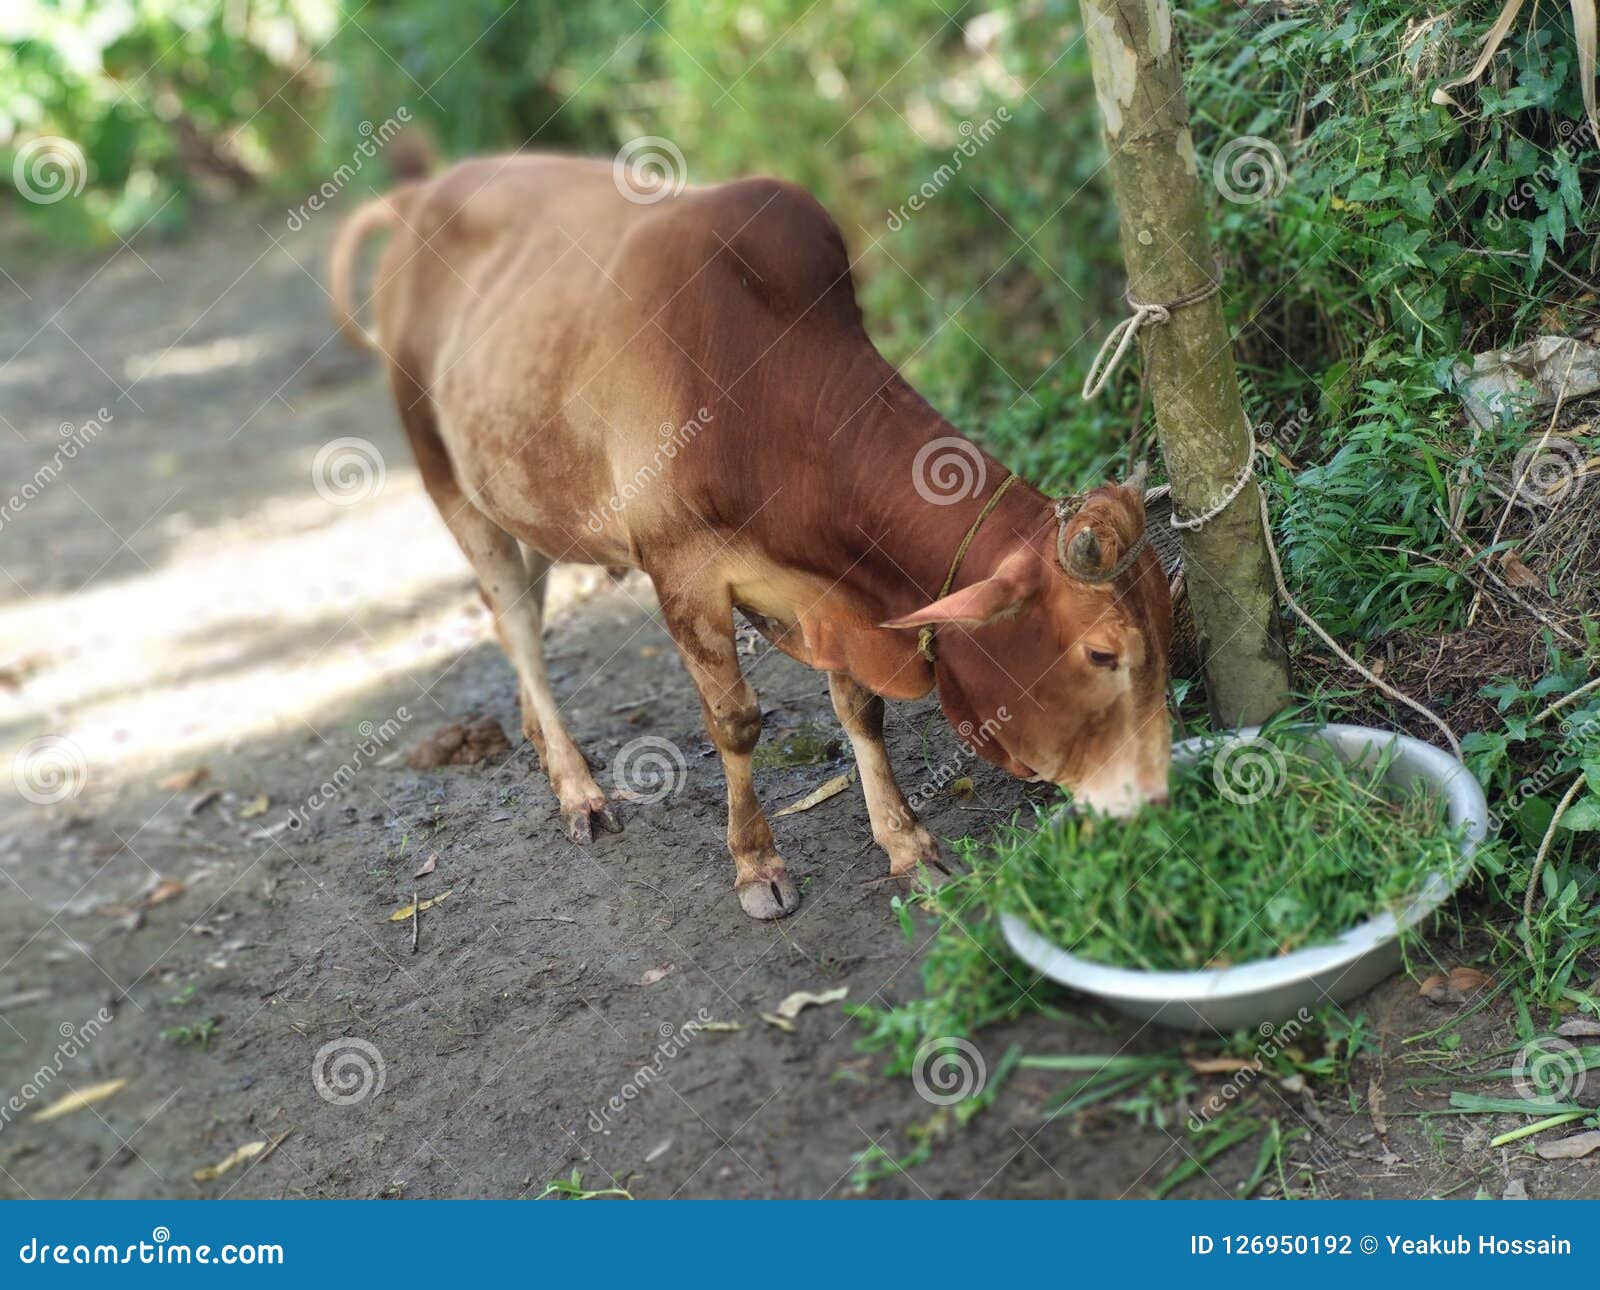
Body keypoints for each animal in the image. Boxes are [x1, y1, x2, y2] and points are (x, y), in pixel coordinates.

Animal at [329, 153, 1171, 920]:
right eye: (1103, 654)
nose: (1159, 799)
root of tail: (420, 193)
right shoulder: (680, 570)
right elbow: (735, 723)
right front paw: (757, 866)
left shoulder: (832, 596)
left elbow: (859, 707)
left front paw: (906, 842)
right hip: (445, 479)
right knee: (516, 623)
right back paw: (578, 789)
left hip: (517, 490)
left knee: (524, 613)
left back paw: (542, 741)